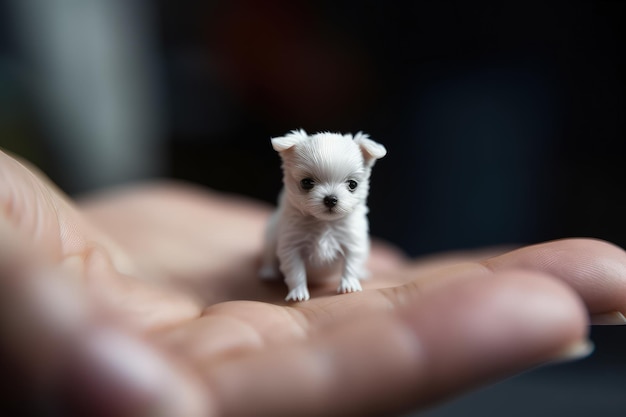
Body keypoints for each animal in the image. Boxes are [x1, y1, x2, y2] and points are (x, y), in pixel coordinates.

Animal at [258, 128, 386, 300]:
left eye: (352, 184)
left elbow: (351, 264)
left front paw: (349, 285)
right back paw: (268, 272)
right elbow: (295, 271)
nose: (331, 199)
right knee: (268, 255)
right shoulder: (291, 246)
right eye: (306, 182)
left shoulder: (353, 243)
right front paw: (298, 293)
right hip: (271, 237)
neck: (324, 222)